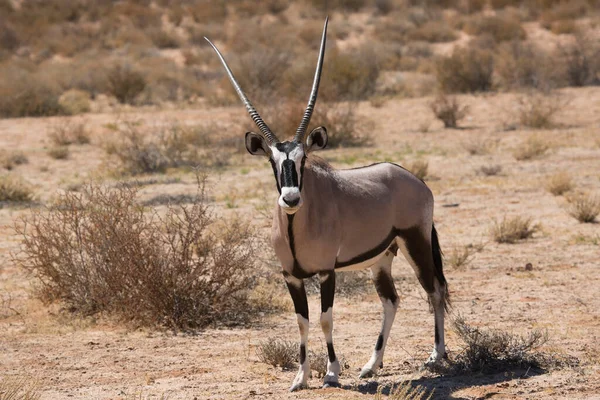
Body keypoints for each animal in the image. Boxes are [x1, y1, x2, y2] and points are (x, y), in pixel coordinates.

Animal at [205, 18, 446, 390]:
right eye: (273, 162)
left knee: (434, 290)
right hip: (382, 258)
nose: (291, 198)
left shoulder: (326, 271)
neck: (296, 227)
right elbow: (302, 321)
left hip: (415, 242)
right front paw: (300, 378)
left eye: (303, 159)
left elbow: (325, 319)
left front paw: (332, 373)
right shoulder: (291, 276)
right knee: (391, 301)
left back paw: (436, 356)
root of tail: (414, 179)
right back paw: (371, 365)